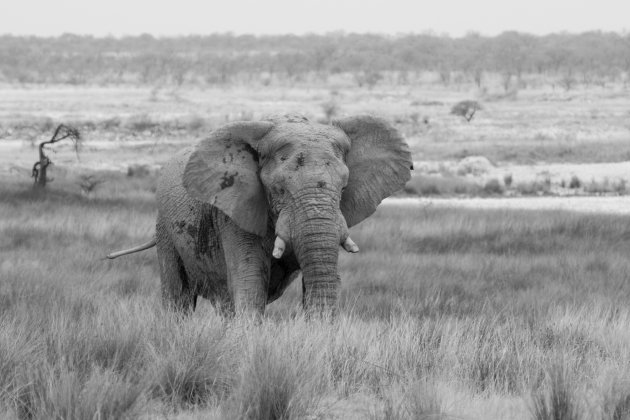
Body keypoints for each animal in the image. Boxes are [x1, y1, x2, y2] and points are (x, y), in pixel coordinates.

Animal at [108, 113, 414, 314]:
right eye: (278, 189)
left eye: (343, 187)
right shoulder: (234, 213)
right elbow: (249, 284)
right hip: (165, 228)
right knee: (179, 299)